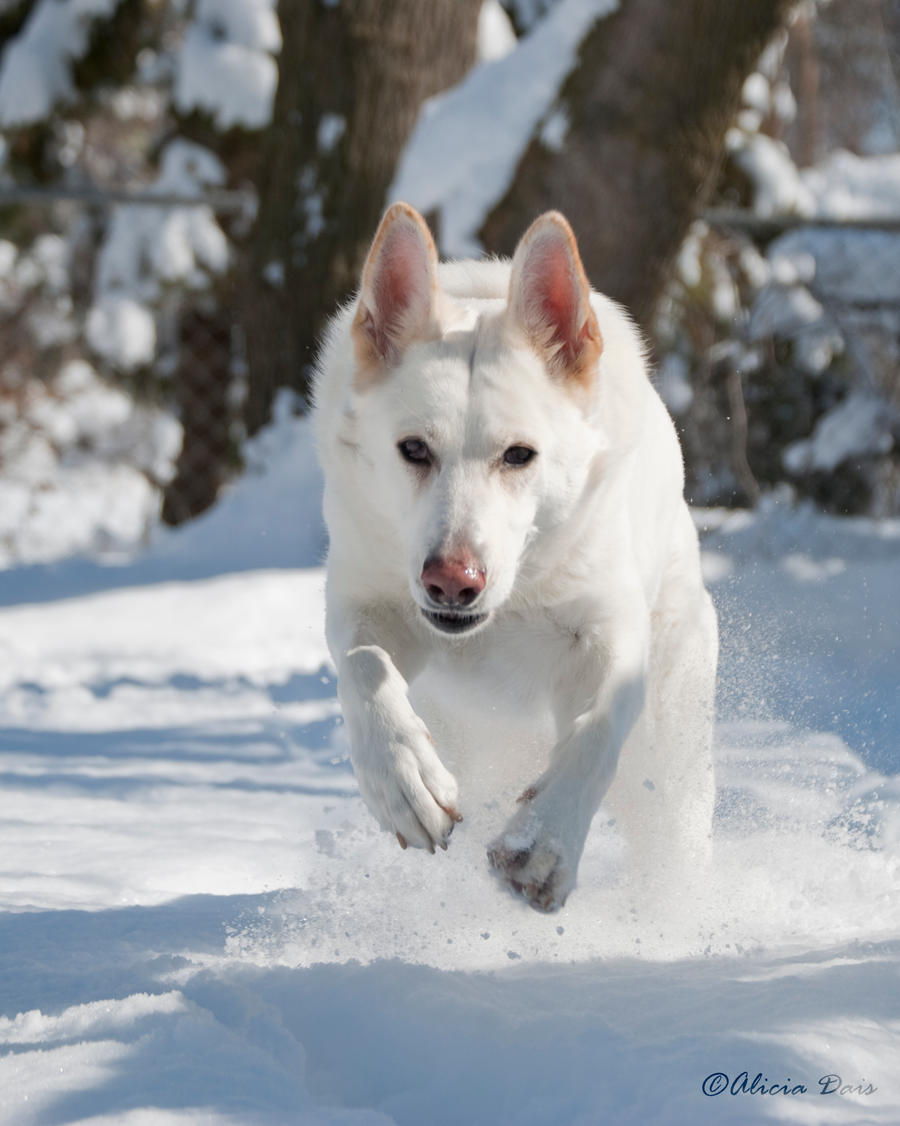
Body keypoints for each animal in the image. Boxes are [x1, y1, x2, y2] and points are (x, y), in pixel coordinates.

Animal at [310, 202, 716, 909]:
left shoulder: (609, 631)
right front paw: (405, 782)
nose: (452, 582)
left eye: (519, 455)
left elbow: (597, 729)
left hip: (671, 756)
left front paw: (543, 846)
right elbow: (364, 668)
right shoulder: (366, 601)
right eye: (413, 449)